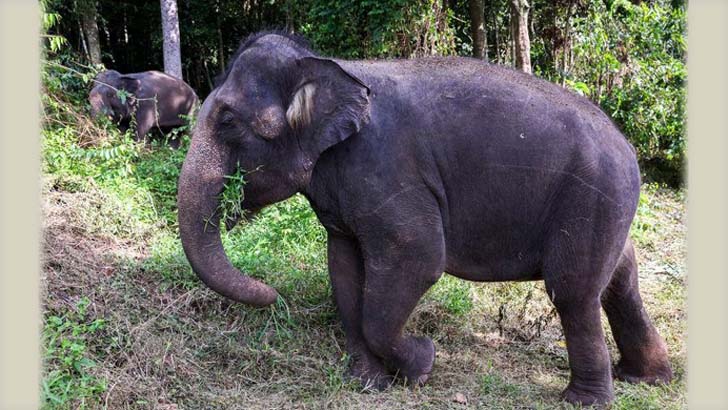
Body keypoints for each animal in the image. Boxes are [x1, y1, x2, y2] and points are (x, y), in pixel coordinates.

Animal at [173, 30, 672, 406]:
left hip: (592, 196)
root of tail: (627, 147)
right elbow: (344, 268)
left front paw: (423, 364)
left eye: (228, 122)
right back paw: (646, 378)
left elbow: (417, 258)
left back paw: (582, 400)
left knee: (573, 291)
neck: (333, 66)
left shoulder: (386, 168)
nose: (272, 294)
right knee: (620, 278)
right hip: (607, 207)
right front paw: (366, 382)